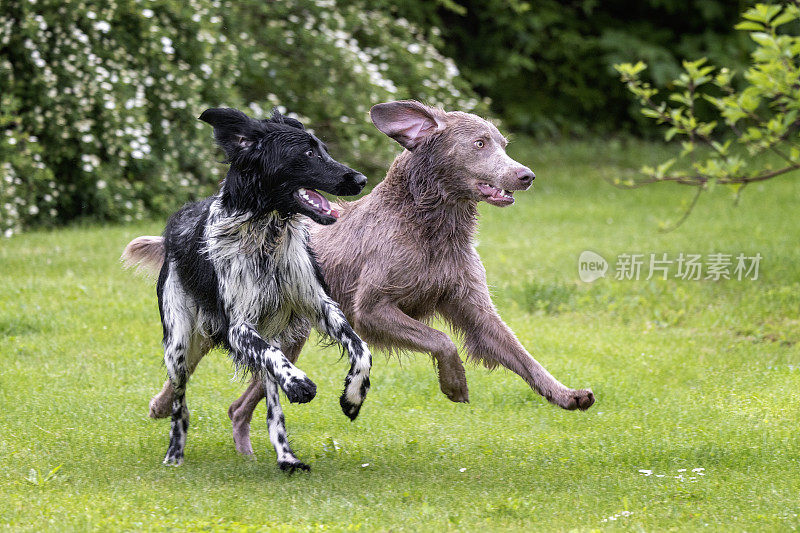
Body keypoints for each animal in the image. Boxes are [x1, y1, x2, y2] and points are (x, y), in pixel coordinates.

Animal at [123, 107, 374, 470]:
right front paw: (300, 383)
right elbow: (275, 359)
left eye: (324, 149)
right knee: (180, 403)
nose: (360, 179)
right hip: (179, 342)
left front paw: (353, 397)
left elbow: (361, 348)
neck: (266, 234)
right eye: (308, 153)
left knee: (270, 399)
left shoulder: (320, 306)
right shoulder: (238, 327)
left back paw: (287, 456)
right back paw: (174, 453)